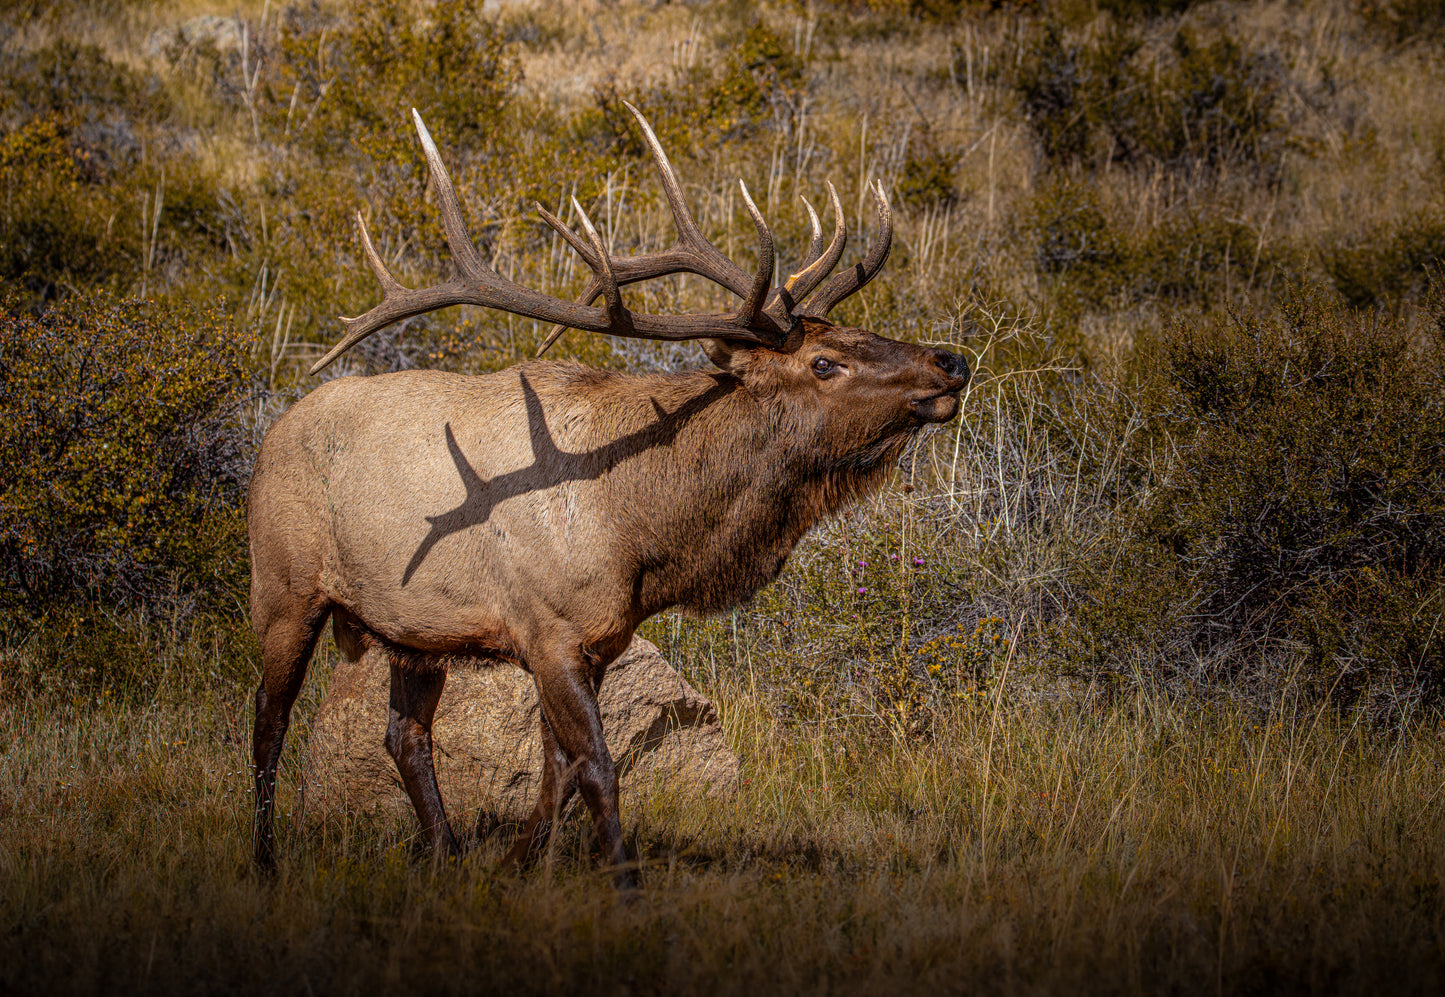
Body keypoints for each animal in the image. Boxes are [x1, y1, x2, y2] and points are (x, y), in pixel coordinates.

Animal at [248, 98, 971, 878]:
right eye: (824, 362)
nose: (951, 361)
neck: (640, 532)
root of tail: (275, 428)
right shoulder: (548, 631)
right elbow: (597, 766)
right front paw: (620, 876)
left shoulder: (598, 640)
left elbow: (559, 770)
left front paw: (517, 864)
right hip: (284, 586)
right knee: (268, 719)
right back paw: (265, 861)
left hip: (414, 629)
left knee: (404, 735)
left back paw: (444, 854)